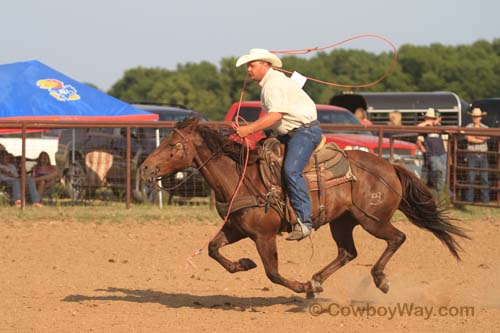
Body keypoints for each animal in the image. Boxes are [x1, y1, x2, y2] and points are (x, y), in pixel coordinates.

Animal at [140, 116, 468, 296]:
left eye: (173, 145)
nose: (144, 168)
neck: (241, 177)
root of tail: (391, 166)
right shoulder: (237, 229)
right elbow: (212, 249)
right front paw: (243, 264)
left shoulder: (264, 235)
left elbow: (272, 272)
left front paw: (301, 288)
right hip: (343, 222)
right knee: (348, 252)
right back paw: (318, 281)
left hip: (373, 220)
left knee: (397, 238)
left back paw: (377, 280)